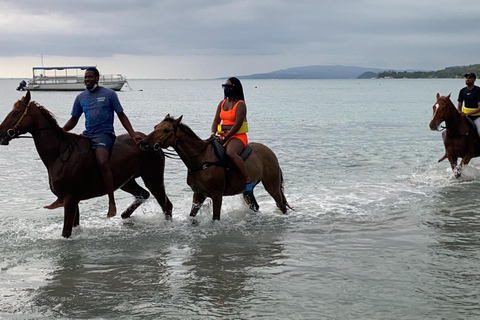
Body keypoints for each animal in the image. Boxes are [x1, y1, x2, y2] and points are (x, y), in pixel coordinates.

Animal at [0, 91, 172, 236]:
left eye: (16, 112)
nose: (1, 133)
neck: (60, 153)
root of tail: (150, 143)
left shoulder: (70, 199)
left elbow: (66, 232)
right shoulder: (72, 200)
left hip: (153, 179)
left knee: (166, 205)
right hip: (127, 181)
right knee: (143, 194)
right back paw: (125, 215)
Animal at [137, 115, 290, 222]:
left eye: (166, 130)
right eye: (155, 126)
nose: (143, 143)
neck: (201, 160)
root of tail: (270, 152)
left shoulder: (217, 195)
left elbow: (215, 218)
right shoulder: (198, 194)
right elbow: (192, 216)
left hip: (272, 186)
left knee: (281, 205)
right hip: (248, 192)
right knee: (255, 206)